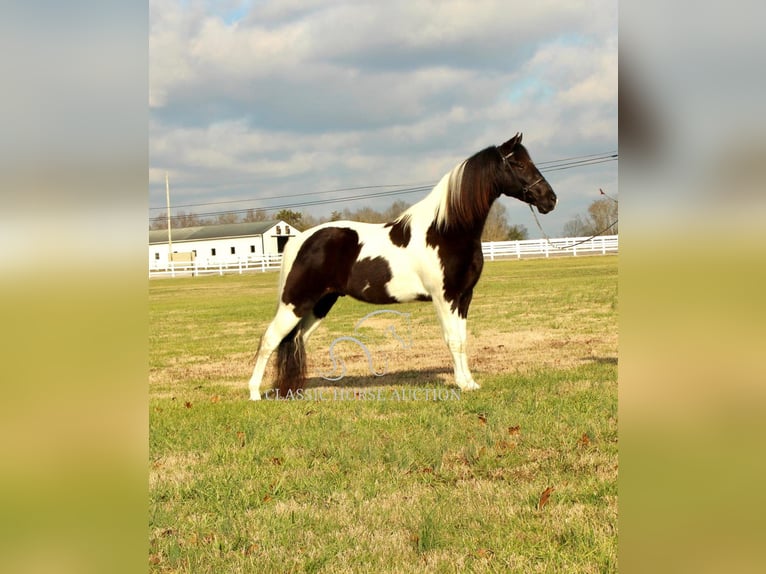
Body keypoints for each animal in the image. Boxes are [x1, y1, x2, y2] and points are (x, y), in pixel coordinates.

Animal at [250, 133, 560, 402]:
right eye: (518, 164)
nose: (550, 199)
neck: (445, 231)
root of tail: (300, 240)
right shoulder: (444, 298)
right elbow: (452, 340)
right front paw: (461, 384)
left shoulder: (463, 297)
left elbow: (462, 339)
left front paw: (470, 382)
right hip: (295, 303)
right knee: (270, 339)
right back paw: (254, 393)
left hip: (319, 304)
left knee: (295, 340)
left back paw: (292, 390)